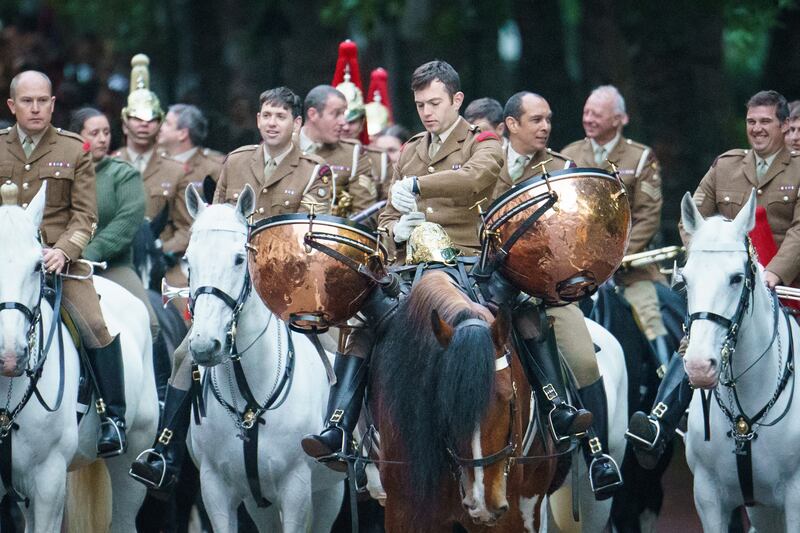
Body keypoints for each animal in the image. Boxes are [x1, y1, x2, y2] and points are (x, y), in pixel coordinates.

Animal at [184, 184, 344, 532]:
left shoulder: (296, 488)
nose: (204, 345)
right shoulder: (215, 489)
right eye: (187, 260)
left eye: (238, 259)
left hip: (330, 490)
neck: (250, 400)